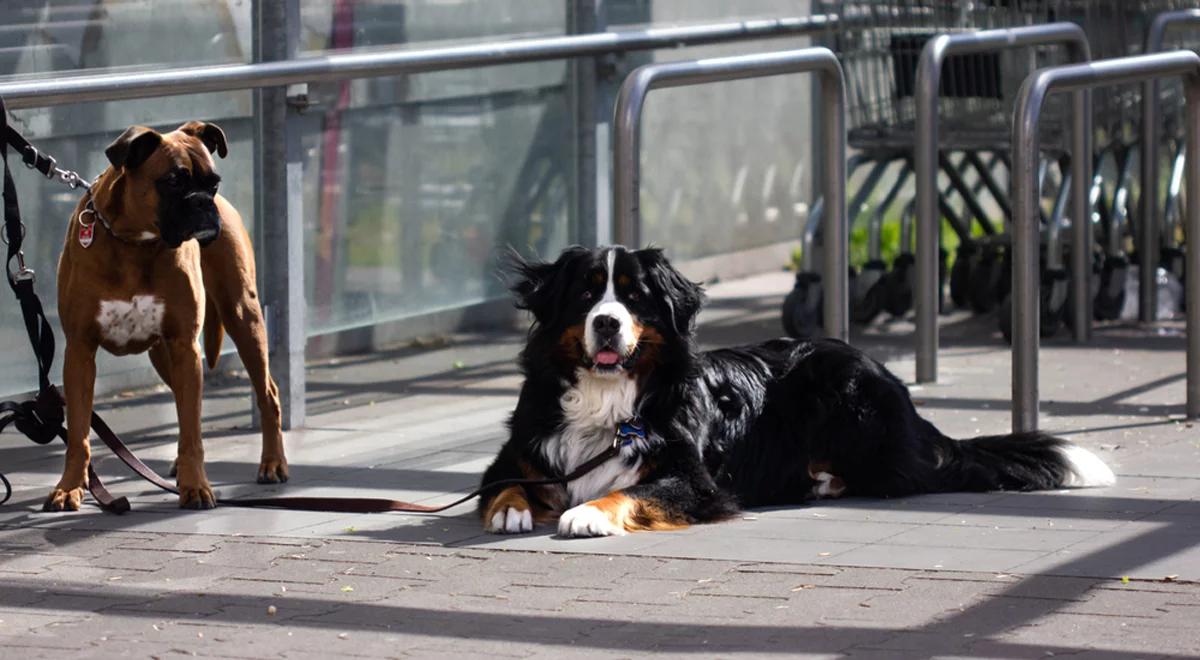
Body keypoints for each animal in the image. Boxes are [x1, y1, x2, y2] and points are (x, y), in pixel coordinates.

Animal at [44, 121, 288, 511]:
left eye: (213, 182)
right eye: (173, 180)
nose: (204, 202)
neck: (134, 242)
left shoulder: (185, 345)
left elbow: (192, 431)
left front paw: (196, 486)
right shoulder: (80, 352)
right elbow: (79, 431)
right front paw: (69, 487)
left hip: (242, 318)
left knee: (268, 394)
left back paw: (273, 463)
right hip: (164, 355)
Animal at [477, 246, 1113, 540]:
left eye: (634, 298)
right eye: (586, 296)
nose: (607, 324)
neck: (607, 398)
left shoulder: (697, 482)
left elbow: (631, 490)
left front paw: (588, 513)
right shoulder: (520, 450)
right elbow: (504, 479)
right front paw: (511, 508)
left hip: (846, 394)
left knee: (907, 477)